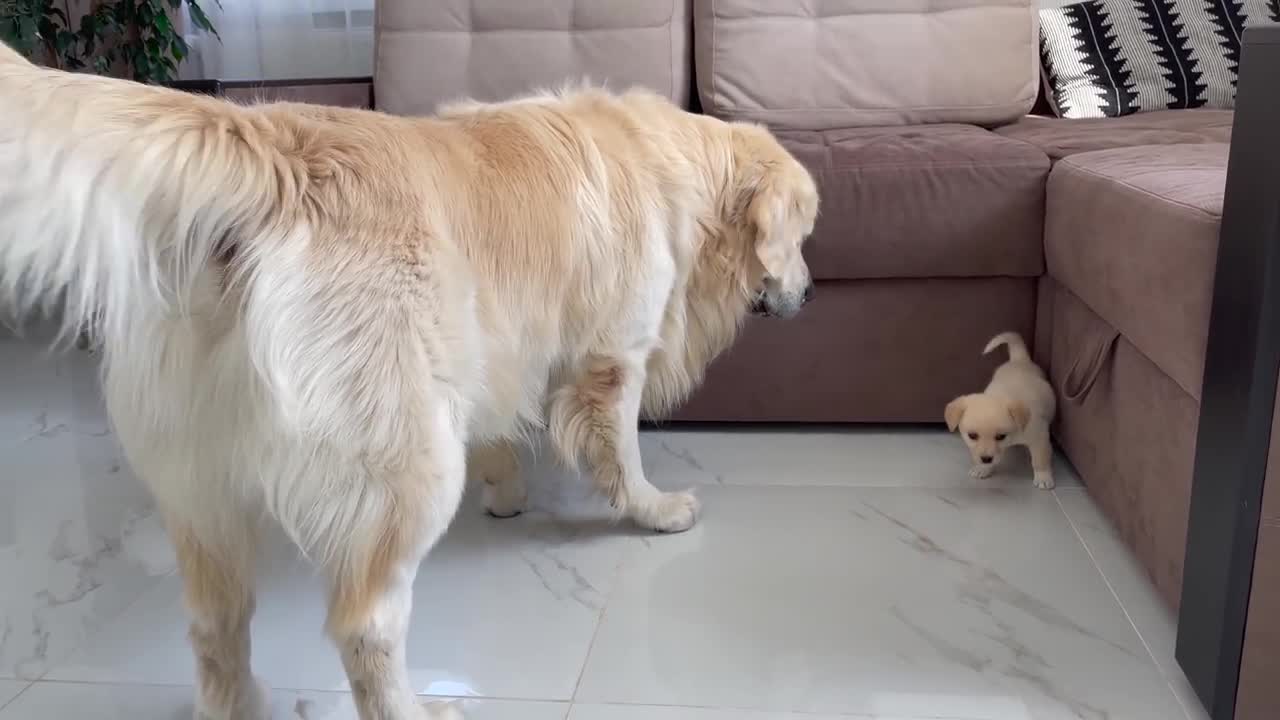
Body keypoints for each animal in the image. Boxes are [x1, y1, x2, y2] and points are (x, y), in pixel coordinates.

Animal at [942, 330, 1059, 486]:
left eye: (1000, 436)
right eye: (972, 436)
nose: (986, 459)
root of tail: (1019, 359)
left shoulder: (1039, 437)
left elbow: (1040, 459)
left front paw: (1043, 477)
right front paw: (983, 469)